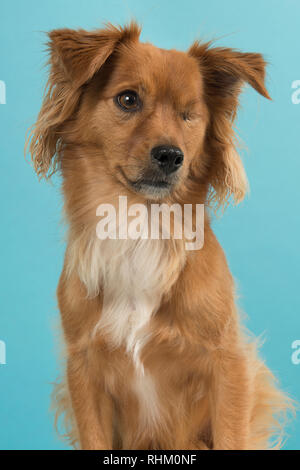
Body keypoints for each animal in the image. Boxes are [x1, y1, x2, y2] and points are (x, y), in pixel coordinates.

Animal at [26, 23, 292, 452]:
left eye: (189, 115)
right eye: (128, 99)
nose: (171, 155)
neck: (138, 226)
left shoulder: (228, 363)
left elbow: (231, 433)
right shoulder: (83, 368)